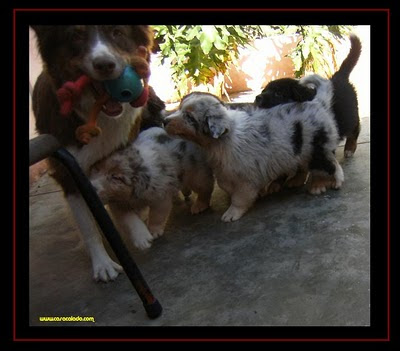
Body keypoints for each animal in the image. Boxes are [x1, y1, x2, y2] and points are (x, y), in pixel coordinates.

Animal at [30, 24, 166, 284]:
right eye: (76, 35)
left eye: (117, 33)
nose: (105, 65)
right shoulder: (69, 174)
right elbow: (87, 225)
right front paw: (102, 263)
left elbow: (121, 201)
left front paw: (136, 228)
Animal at [164, 91, 342, 223]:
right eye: (179, 108)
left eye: (189, 117)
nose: (164, 121)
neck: (222, 140)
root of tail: (317, 104)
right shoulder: (225, 170)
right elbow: (225, 185)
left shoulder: (245, 177)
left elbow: (239, 197)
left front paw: (231, 213)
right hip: (301, 152)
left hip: (316, 149)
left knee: (328, 165)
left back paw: (322, 185)